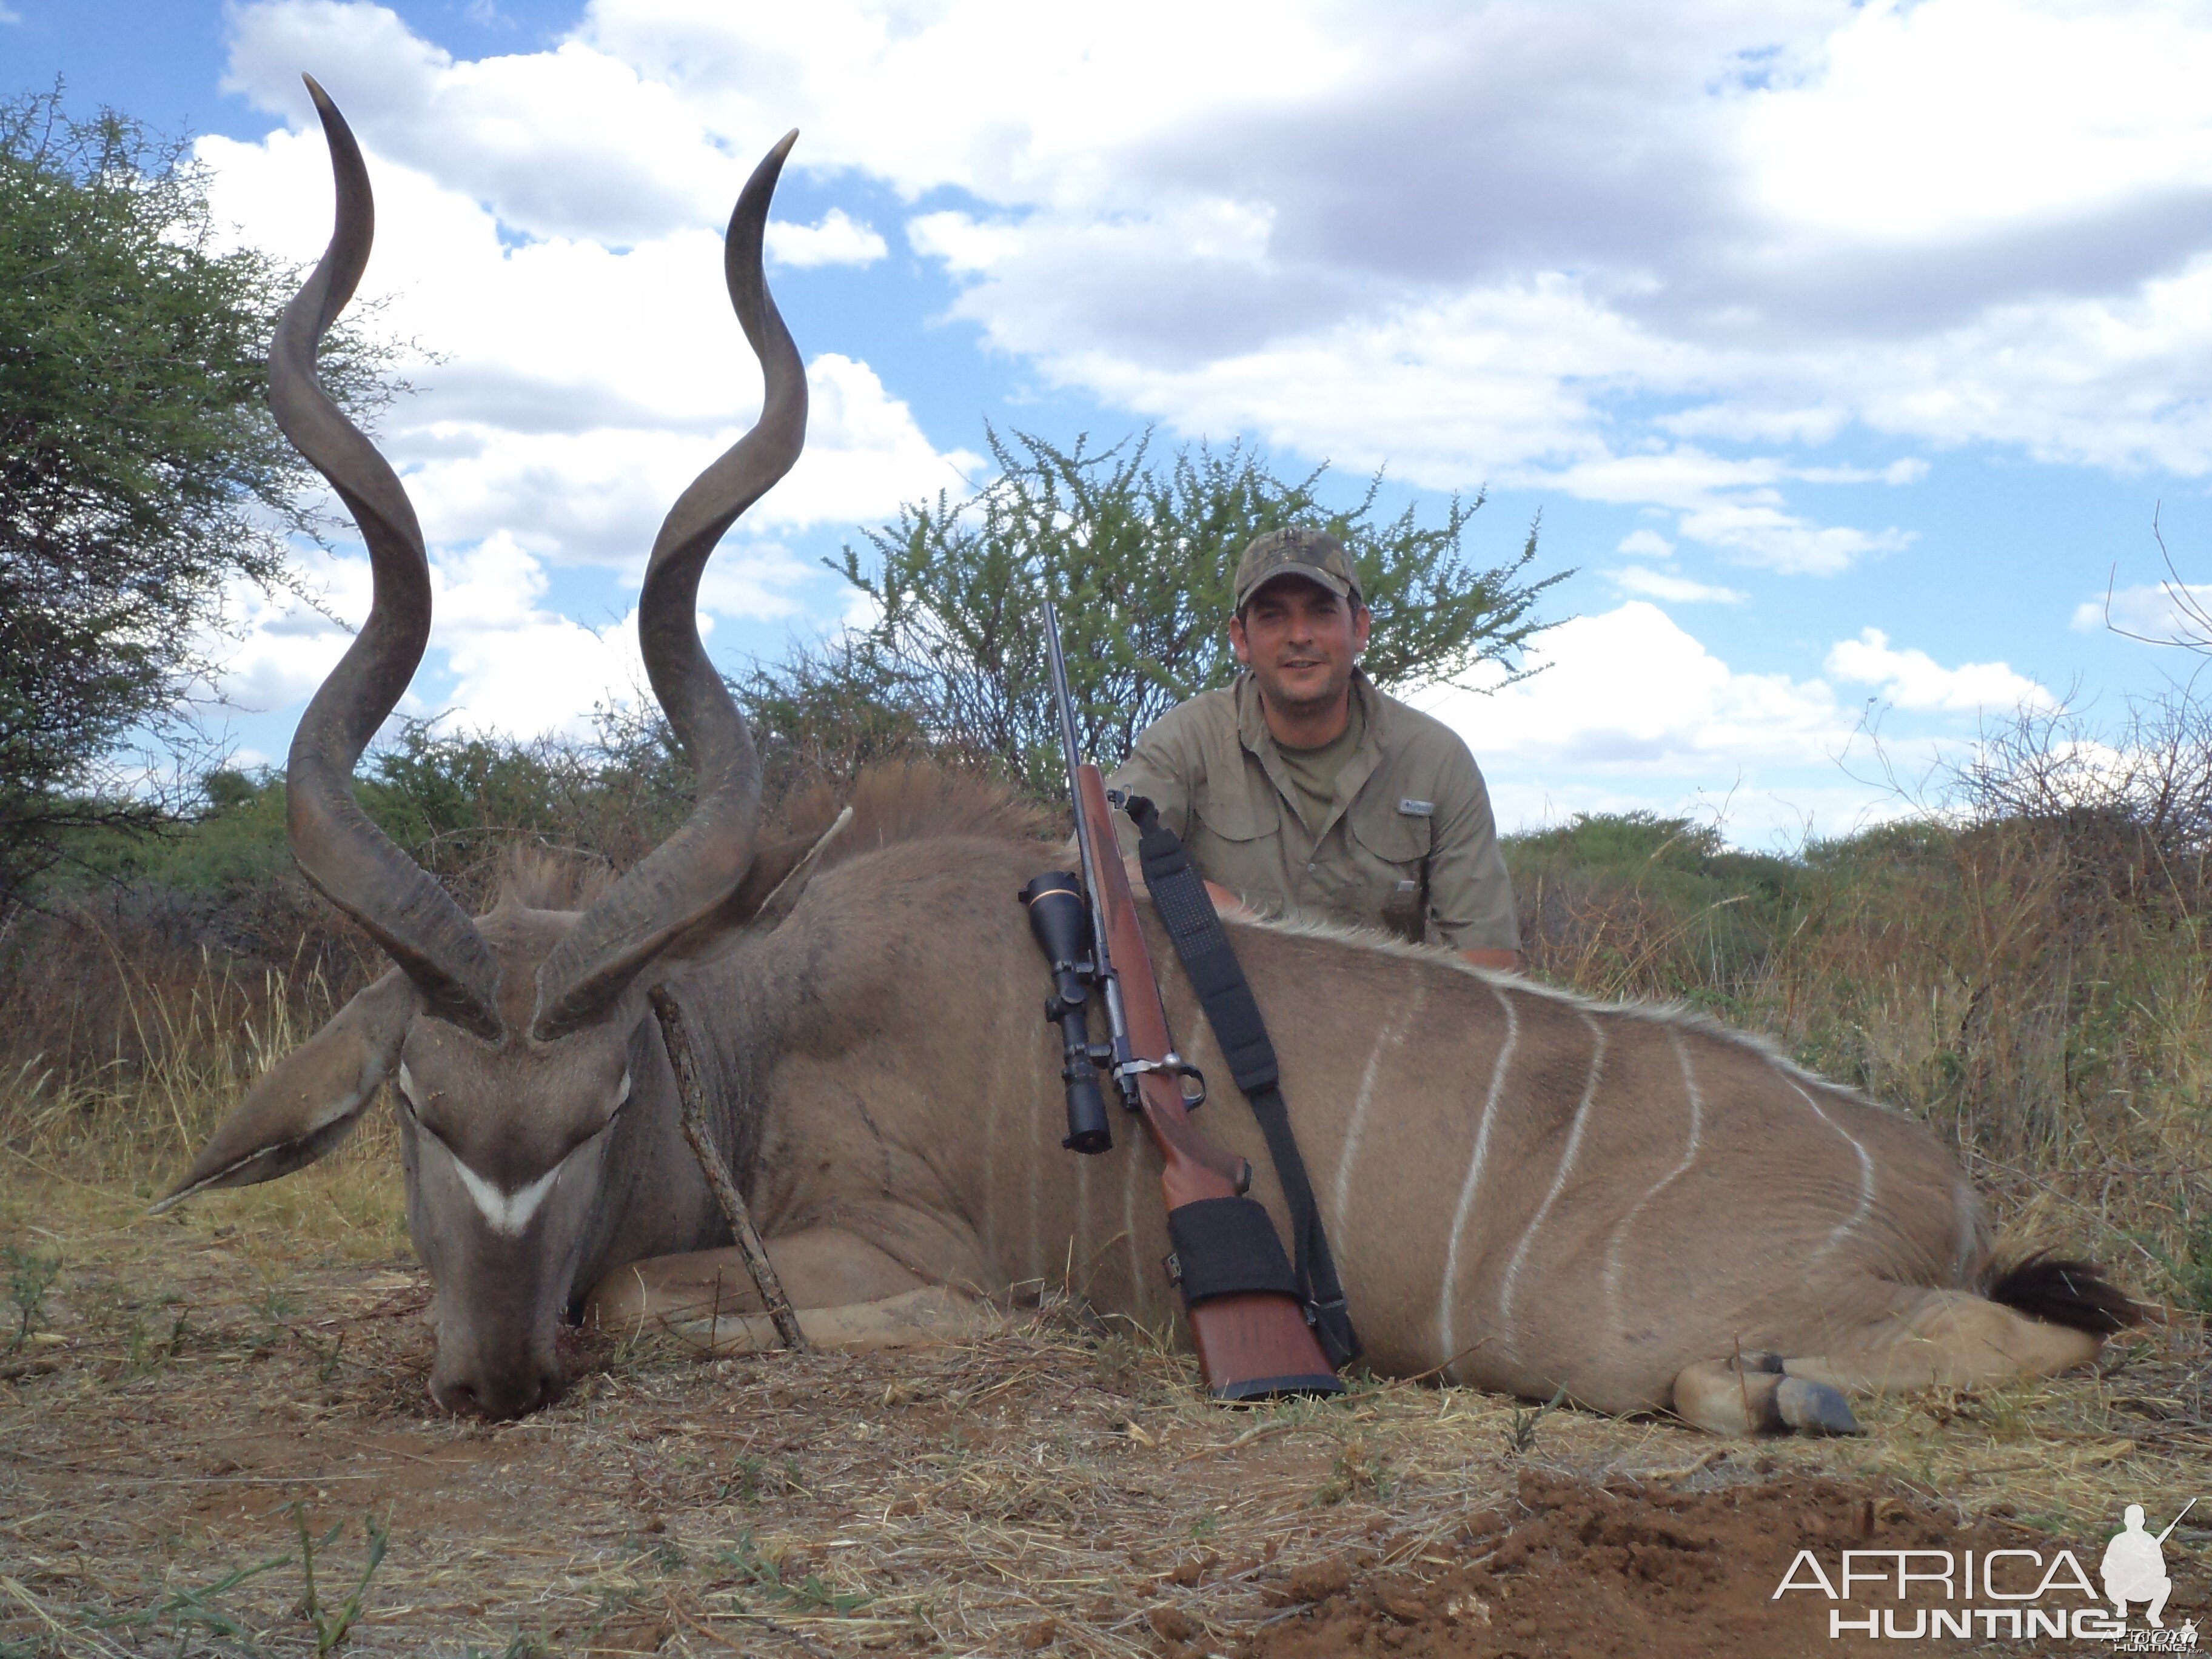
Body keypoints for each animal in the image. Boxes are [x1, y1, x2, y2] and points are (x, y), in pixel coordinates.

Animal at [163, 84, 2132, 1433]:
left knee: (2034, 1331)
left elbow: (651, 1300)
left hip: (1673, 1333)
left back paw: (1776, 1383)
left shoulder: (890, 1257)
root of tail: (1942, 1179)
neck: (752, 1027)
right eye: (419, 1110)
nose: (493, 1377)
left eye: (593, 1113)